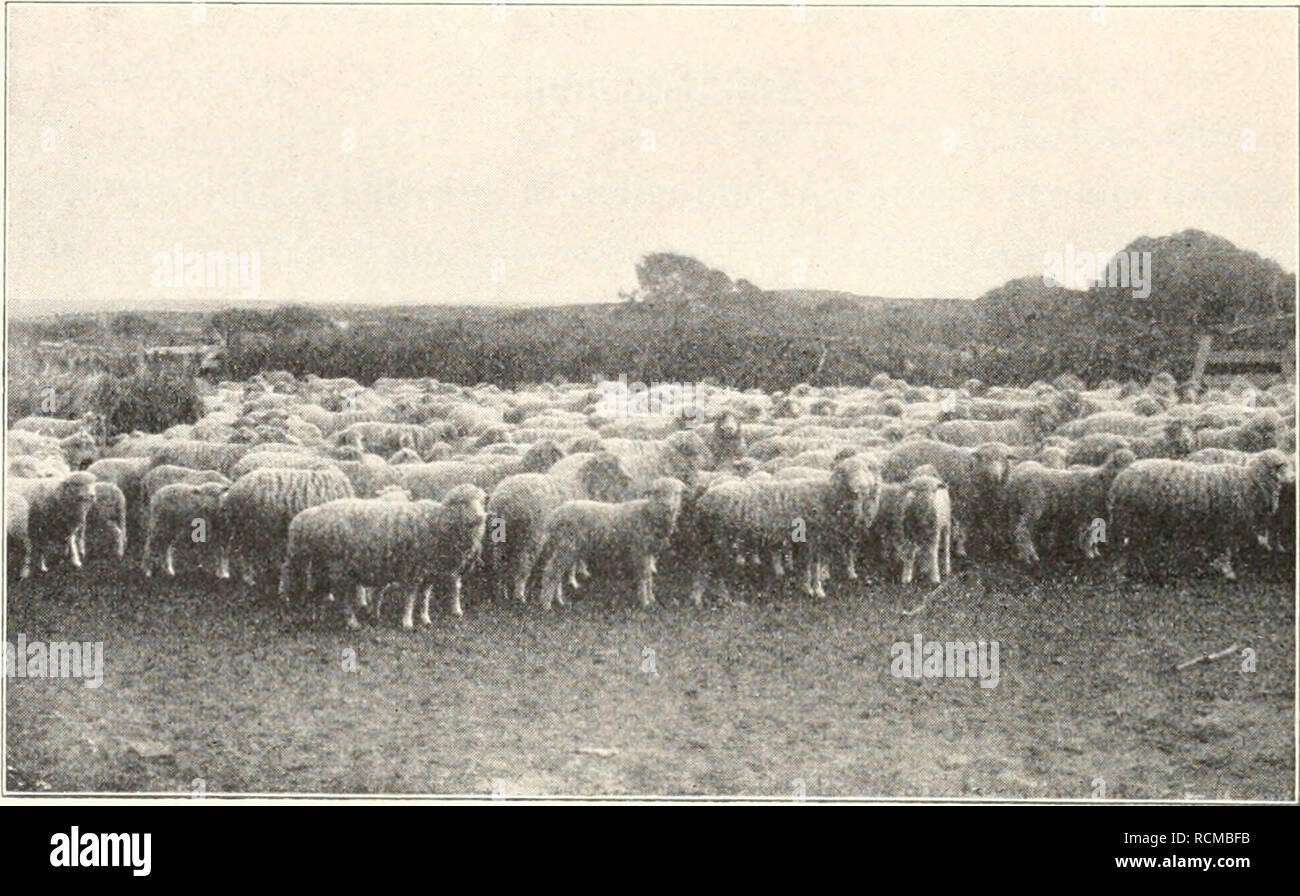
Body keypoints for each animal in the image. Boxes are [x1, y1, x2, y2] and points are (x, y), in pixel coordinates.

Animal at [220, 468, 356, 587]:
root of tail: (232, 491)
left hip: (244, 528)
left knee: (236, 550)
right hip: (249, 528)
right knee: (241, 553)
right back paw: (244, 578)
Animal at [280, 481, 488, 629]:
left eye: (481, 501)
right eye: (462, 502)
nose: (481, 516)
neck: (438, 522)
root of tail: (312, 516)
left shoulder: (429, 571)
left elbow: (424, 597)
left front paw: (425, 619)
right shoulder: (412, 567)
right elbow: (410, 596)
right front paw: (407, 622)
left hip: (321, 563)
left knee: (317, 589)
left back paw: (317, 614)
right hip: (335, 564)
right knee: (338, 594)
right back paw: (349, 621)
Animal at [533, 475, 686, 608]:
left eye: (676, 493)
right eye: (657, 492)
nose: (667, 507)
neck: (648, 515)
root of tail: (554, 515)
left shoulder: (647, 552)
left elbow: (649, 576)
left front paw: (651, 598)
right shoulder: (639, 550)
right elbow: (643, 577)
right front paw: (644, 602)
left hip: (564, 546)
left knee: (556, 572)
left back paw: (558, 600)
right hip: (566, 545)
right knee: (551, 572)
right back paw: (546, 604)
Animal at [998, 449, 1133, 561]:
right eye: (1123, 462)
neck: (1101, 482)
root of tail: (1016, 480)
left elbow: (1093, 535)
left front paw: (1094, 552)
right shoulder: (1087, 513)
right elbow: (1088, 535)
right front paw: (1089, 554)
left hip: (1015, 508)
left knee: (1015, 529)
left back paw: (1020, 553)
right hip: (1032, 506)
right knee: (1022, 531)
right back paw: (1029, 557)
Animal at [1102, 447, 1294, 579]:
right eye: (1281, 466)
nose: (1293, 480)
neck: (1250, 480)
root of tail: (1122, 477)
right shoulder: (1226, 524)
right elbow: (1226, 550)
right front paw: (1228, 571)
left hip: (1141, 521)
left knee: (1134, 547)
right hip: (1130, 518)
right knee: (1125, 548)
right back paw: (1121, 572)